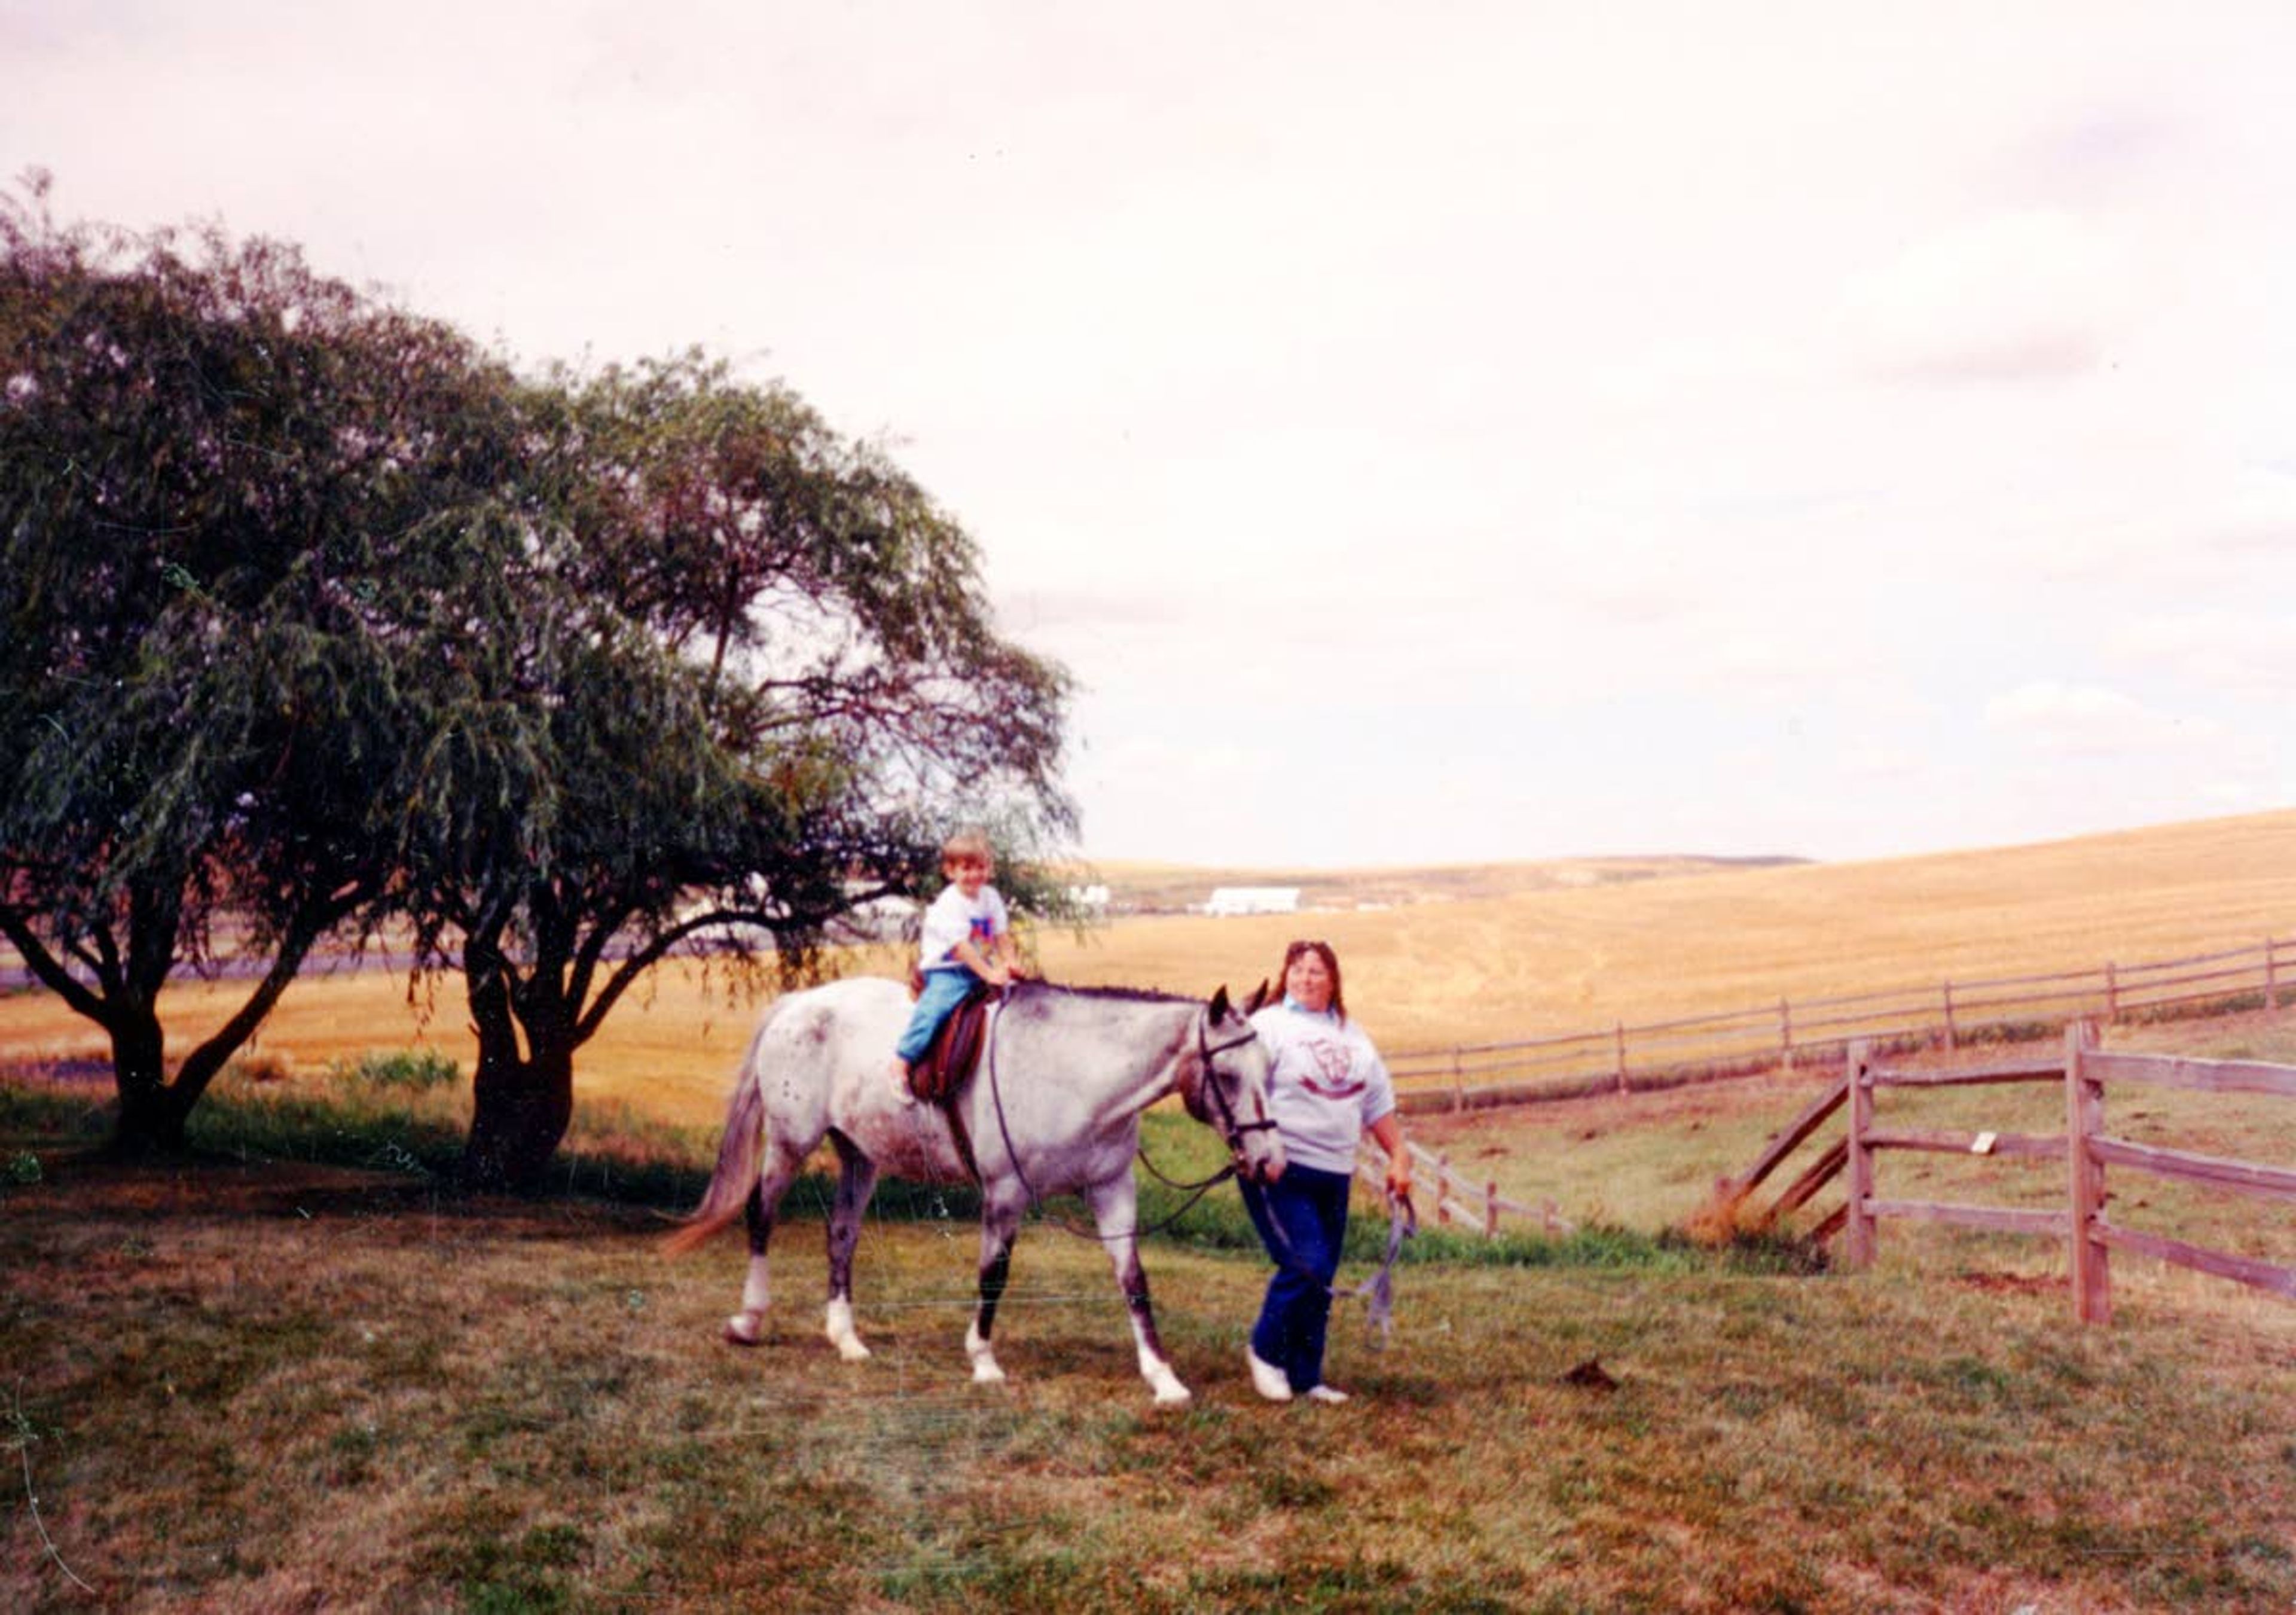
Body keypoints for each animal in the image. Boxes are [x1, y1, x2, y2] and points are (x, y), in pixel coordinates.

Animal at [665, 978, 1286, 1406]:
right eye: (1227, 1075)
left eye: (1270, 1068)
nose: (1270, 1162)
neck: (1073, 1072)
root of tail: (798, 1004)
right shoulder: (1005, 1192)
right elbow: (995, 1273)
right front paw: (983, 1360)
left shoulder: (1113, 1189)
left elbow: (1134, 1281)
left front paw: (1163, 1377)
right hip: (791, 1142)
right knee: (761, 1215)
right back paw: (749, 1320)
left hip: (859, 1154)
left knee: (841, 1233)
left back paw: (847, 1339)